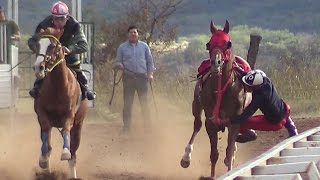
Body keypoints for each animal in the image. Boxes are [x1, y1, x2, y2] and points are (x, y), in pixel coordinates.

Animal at [32, 27, 88, 179]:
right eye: (38, 44)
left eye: (52, 46)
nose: (38, 67)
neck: (58, 86)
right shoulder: (41, 113)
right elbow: (46, 136)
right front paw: (43, 160)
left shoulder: (69, 115)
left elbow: (66, 130)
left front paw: (65, 152)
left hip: (79, 126)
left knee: (74, 154)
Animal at [180, 20, 252, 178]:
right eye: (209, 44)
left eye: (228, 43)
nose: (216, 62)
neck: (221, 90)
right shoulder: (211, 121)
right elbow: (214, 154)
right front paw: (212, 176)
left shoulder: (234, 122)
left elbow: (229, 152)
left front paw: (231, 169)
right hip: (196, 105)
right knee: (197, 125)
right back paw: (186, 157)